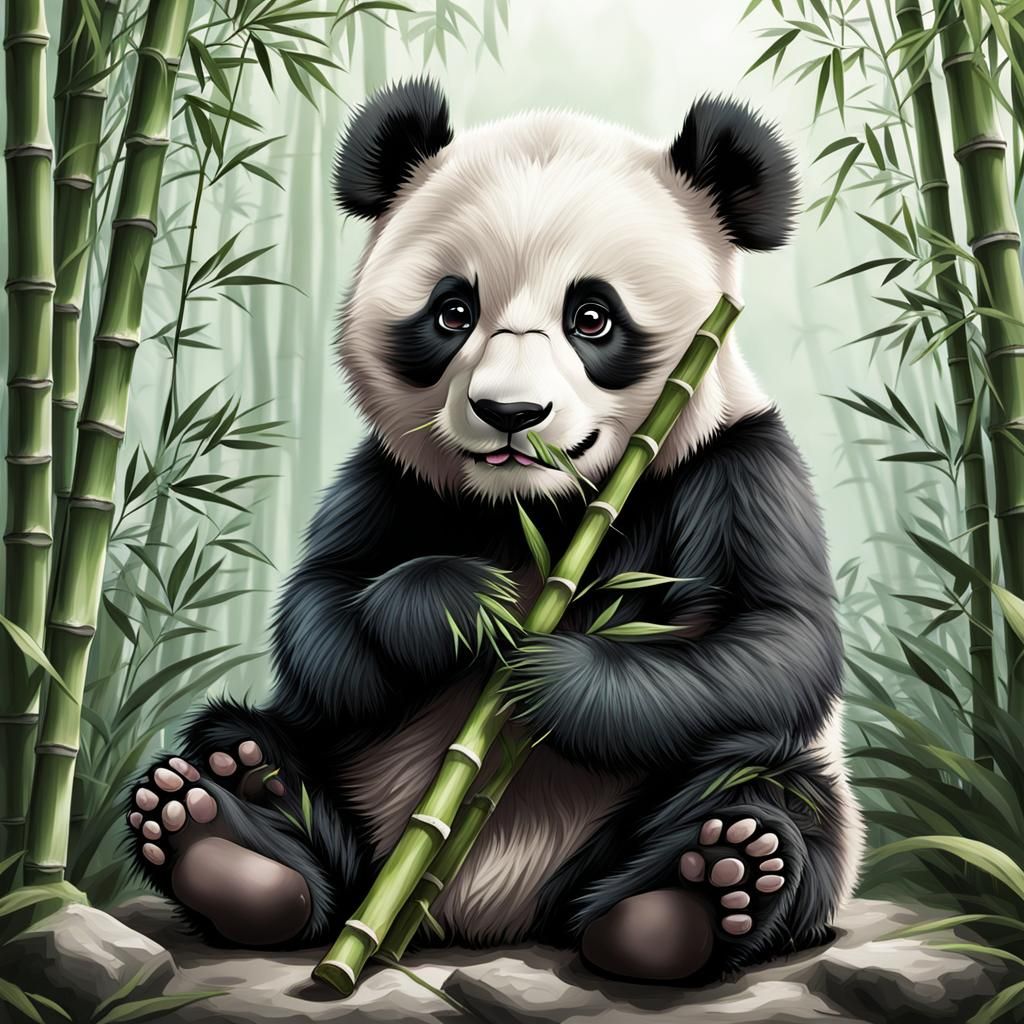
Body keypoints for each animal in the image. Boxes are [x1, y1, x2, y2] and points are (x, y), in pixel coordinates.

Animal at [127, 78, 863, 984]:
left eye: (593, 316)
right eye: (453, 310)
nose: (512, 413)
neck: (538, 507)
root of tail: (482, 917)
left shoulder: (736, 465)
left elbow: (776, 644)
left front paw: (546, 673)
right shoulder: (394, 480)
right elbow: (324, 613)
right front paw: (461, 607)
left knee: (771, 790)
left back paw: (697, 894)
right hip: (348, 784)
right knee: (248, 744)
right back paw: (227, 828)